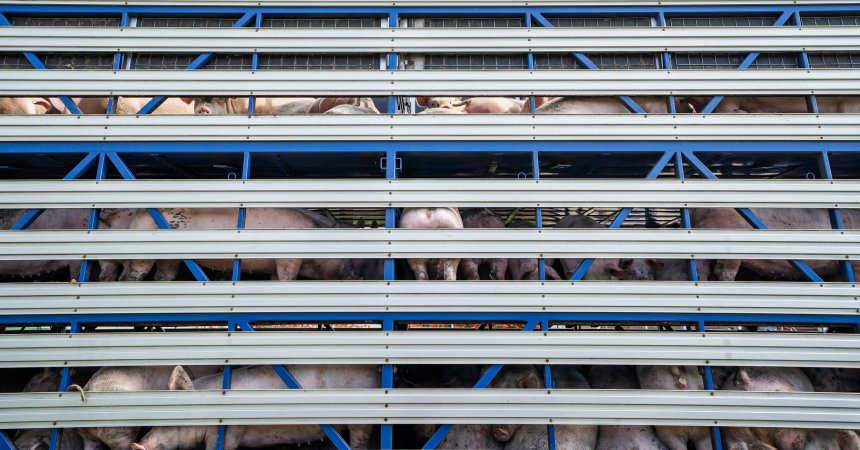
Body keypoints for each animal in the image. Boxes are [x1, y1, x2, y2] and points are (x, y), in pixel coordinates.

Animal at [117, 208, 360, 282]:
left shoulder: (273, 266)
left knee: (164, 275)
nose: (357, 276)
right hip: (143, 253)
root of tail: (136, 216)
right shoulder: (287, 260)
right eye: (346, 256)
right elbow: (287, 278)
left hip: (170, 259)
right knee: (135, 273)